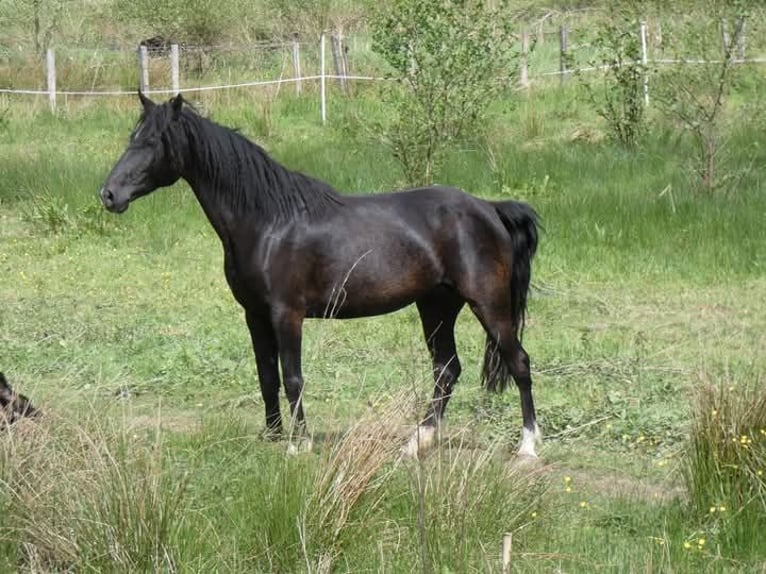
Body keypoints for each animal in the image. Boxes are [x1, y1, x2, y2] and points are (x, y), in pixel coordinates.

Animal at [99, 92, 542, 458]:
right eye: (132, 137)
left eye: (153, 142)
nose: (109, 194)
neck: (268, 221)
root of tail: (488, 208)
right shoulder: (255, 315)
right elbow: (267, 376)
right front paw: (273, 436)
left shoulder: (287, 314)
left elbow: (292, 377)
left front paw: (300, 444)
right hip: (436, 305)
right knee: (447, 370)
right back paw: (418, 442)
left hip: (487, 303)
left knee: (518, 361)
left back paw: (528, 446)